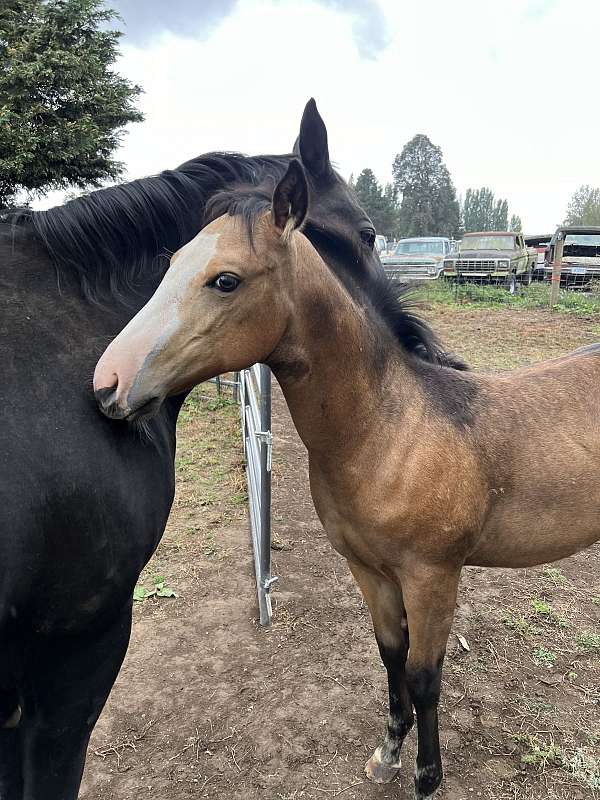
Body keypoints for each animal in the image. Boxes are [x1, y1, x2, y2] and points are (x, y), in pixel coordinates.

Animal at [95, 161, 600, 800]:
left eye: (225, 280)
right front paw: (388, 754)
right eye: (172, 263)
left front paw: (427, 777)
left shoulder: (433, 575)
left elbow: (425, 675)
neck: (389, 431)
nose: (108, 384)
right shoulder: (369, 570)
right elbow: (391, 657)